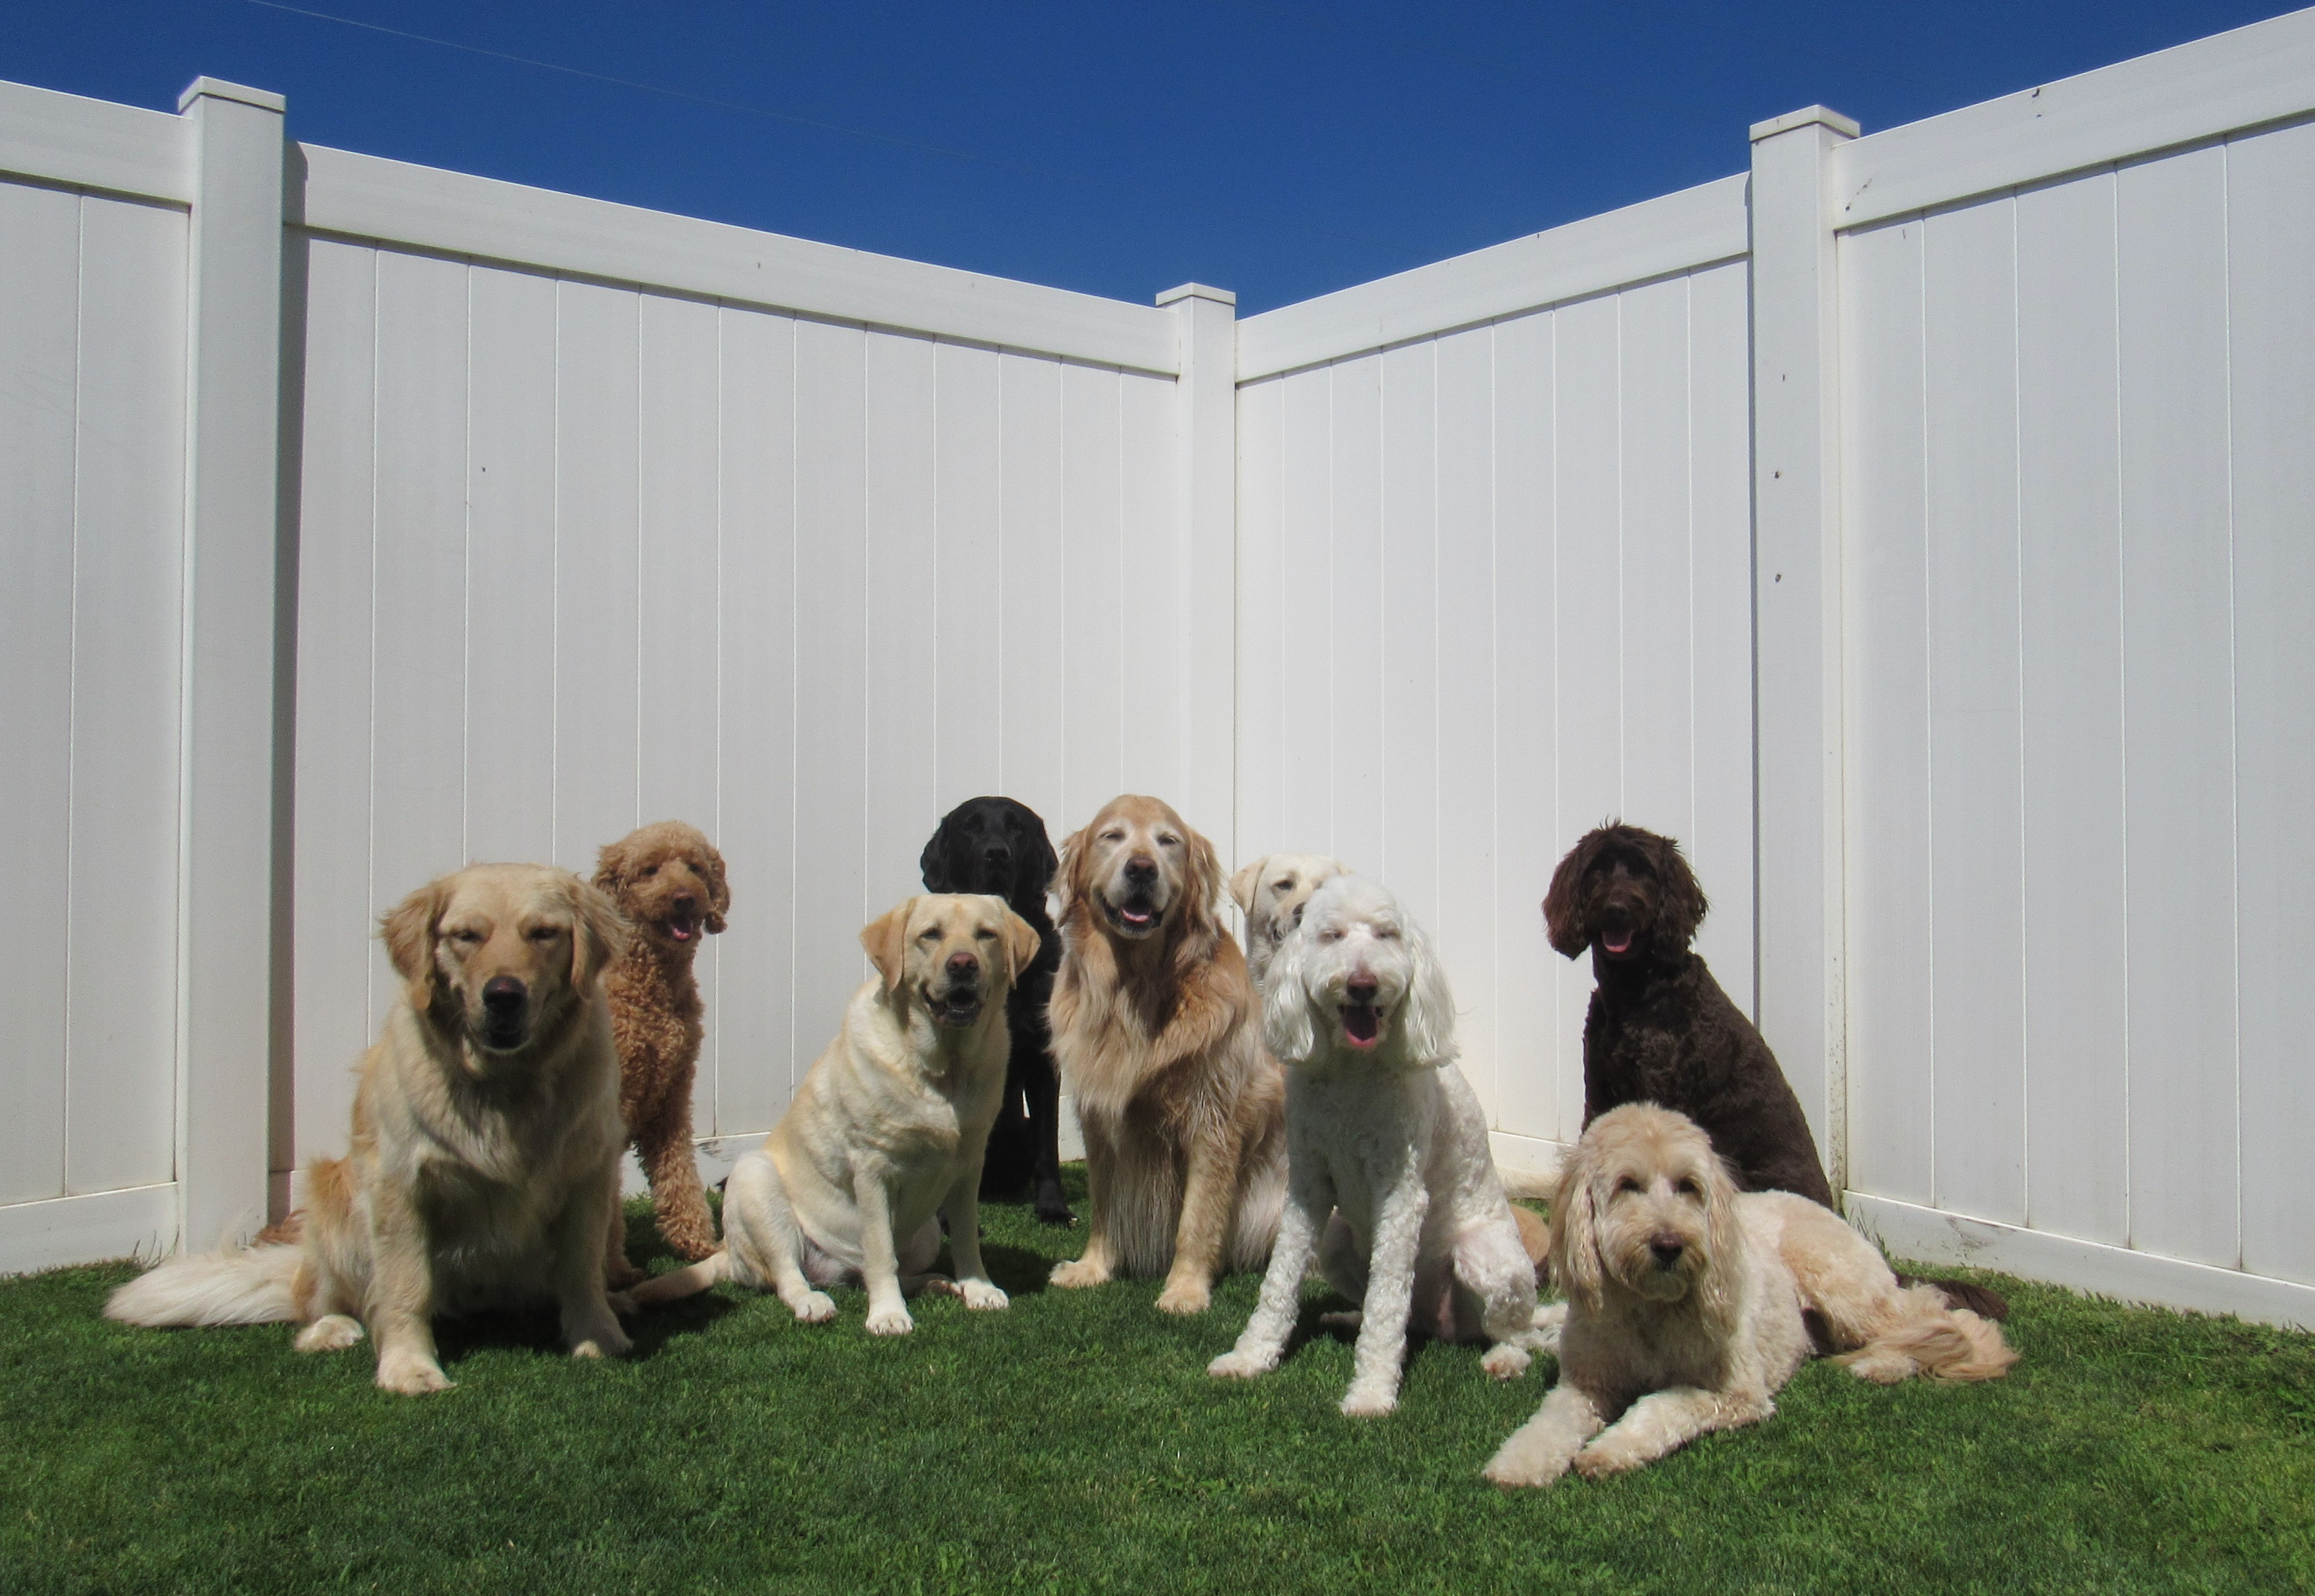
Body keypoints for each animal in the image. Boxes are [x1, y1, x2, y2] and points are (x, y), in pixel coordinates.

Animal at [106, 865, 634, 1388]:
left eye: (544, 933)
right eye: (466, 936)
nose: (503, 995)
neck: (507, 1082)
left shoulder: (590, 1176)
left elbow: (581, 1269)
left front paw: (598, 1335)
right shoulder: (399, 1183)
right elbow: (406, 1285)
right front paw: (409, 1366)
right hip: (333, 1204)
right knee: (320, 1300)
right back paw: (331, 1329)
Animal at [630, 897, 1037, 1332]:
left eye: (986, 935)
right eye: (931, 934)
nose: (963, 964)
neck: (942, 1068)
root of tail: (729, 1255)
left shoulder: (968, 1165)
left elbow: (964, 1237)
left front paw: (979, 1288)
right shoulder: (872, 1168)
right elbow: (880, 1250)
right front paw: (888, 1314)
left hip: (927, 1232)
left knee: (876, 1271)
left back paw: (934, 1283)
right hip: (756, 1180)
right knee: (789, 1276)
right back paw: (814, 1301)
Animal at [1212, 874, 1555, 1415]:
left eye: (1385, 935)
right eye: (1331, 936)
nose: (1362, 984)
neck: (1353, 1075)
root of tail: (1443, 1324)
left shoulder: (1400, 1193)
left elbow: (1386, 1300)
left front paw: (1371, 1392)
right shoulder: (1307, 1186)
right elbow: (1279, 1281)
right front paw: (1250, 1356)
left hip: (1487, 1258)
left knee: (1515, 1334)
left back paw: (1504, 1358)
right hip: (1335, 1241)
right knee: (1399, 1313)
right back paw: (1346, 1320)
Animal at [1481, 1100, 2009, 1490]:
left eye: (1687, 1186)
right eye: (1627, 1185)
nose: (1669, 1245)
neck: (1650, 1310)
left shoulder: (1737, 1393)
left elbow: (1659, 1407)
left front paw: (1609, 1450)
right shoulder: (1585, 1385)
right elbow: (1547, 1423)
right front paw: (1517, 1465)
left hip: (1839, 1284)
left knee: (1929, 1317)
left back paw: (1885, 1364)